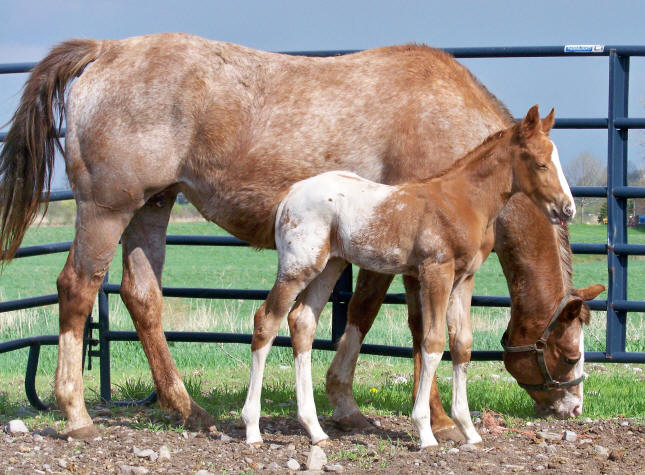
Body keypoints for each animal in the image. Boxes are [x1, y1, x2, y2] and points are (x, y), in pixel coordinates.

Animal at [242, 105, 572, 450]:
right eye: (540, 163)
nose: (567, 209)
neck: (462, 200)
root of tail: (289, 195)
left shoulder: (464, 279)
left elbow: (462, 344)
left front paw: (469, 431)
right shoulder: (436, 271)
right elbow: (433, 341)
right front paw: (426, 431)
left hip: (329, 266)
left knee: (302, 322)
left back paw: (315, 430)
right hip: (298, 266)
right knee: (266, 321)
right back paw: (252, 429)